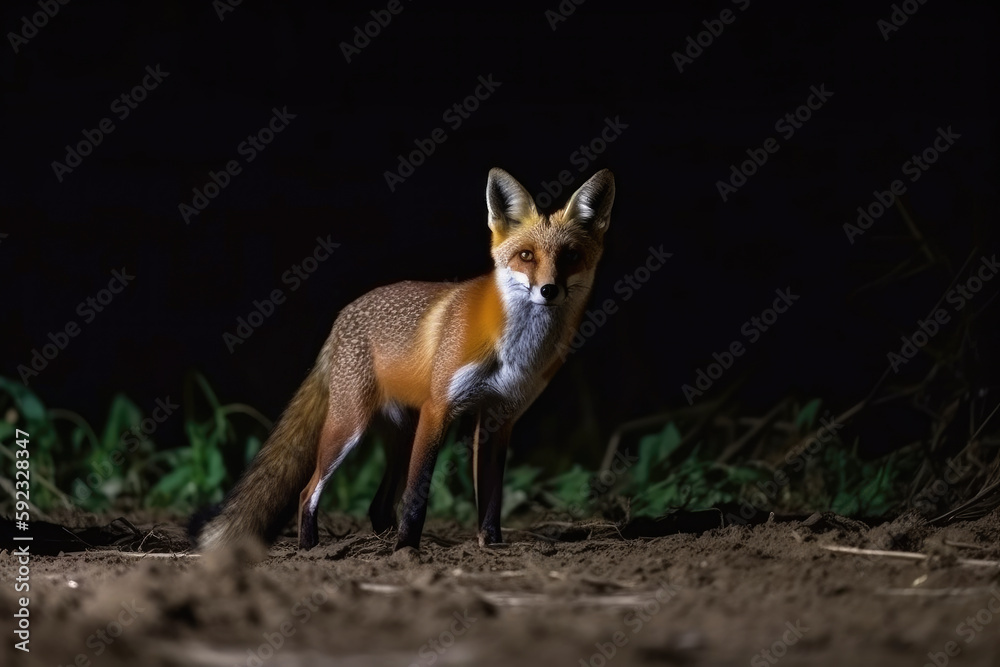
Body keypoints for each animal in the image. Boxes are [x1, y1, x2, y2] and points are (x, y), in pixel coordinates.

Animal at [197, 167, 615, 554]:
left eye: (571, 256)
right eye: (526, 256)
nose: (549, 290)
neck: (515, 350)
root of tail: (343, 315)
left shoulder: (500, 417)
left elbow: (491, 498)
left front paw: (490, 546)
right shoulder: (438, 408)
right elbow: (416, 495)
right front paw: (407, 553)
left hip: (400, 436)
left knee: (378, 506)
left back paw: (379, 543)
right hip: (348, 428)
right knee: (308, 491)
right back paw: (313, 549)